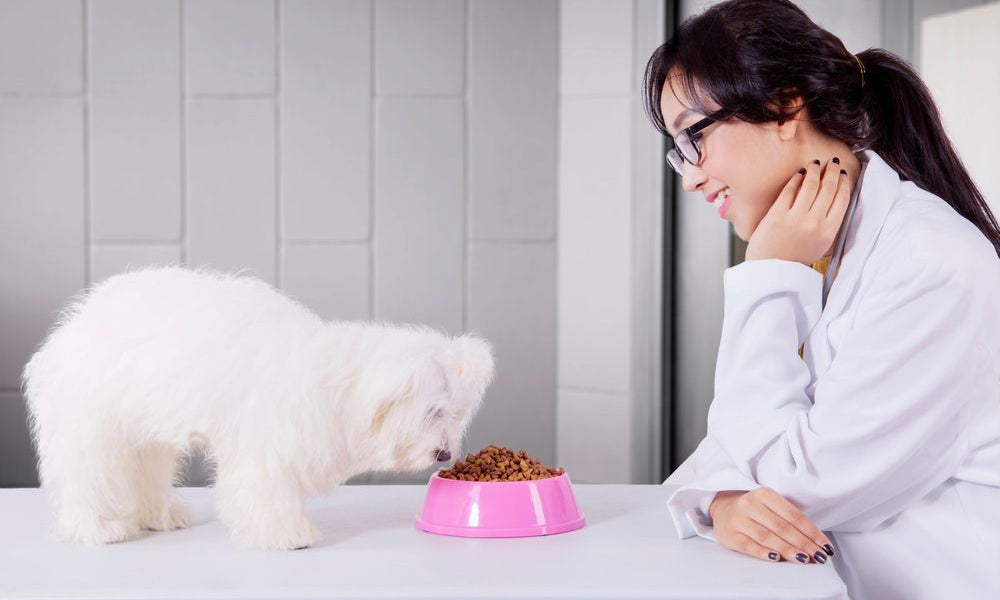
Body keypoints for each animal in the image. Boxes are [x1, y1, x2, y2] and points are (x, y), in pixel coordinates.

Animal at [21, 266, 494, 548]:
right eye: (432, 411)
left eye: (454, 415)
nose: (445, 454)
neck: (330, 383)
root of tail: (71, 327)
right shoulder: (267, 446)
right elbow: (265, 492)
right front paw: (288, 536)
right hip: (95, 426)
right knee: (90, 476)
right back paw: (98, 528)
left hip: (145, 431)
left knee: (147, 471)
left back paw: (160, 516)